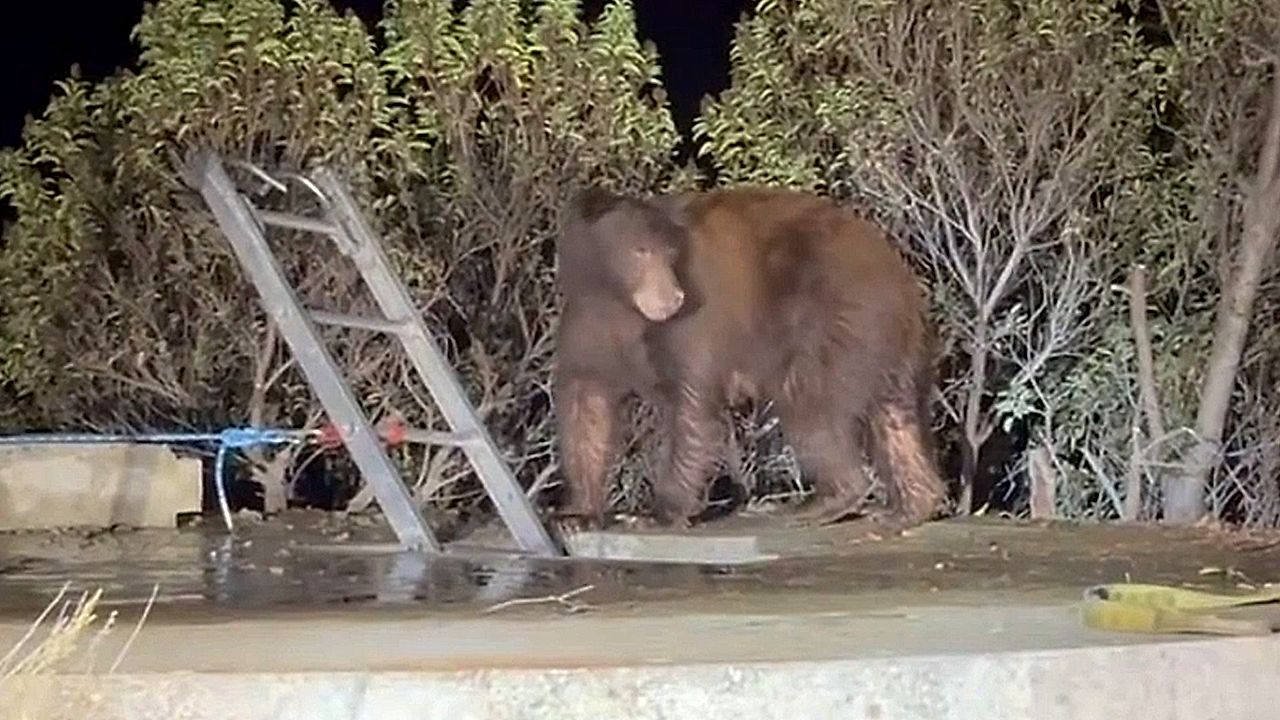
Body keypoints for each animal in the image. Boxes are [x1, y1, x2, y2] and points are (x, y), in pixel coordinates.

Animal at [551, 184, 947, 534]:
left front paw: (659, 514)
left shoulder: (691, 328)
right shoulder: (586, 329)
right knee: (895, 420)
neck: (619, 305)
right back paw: (911, 505)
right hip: (888, 350)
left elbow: (692, 409)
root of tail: (903, 283)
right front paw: (579, 512)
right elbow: (586, 408)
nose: (673, 297)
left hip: (835, 321)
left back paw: (828, 500)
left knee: (810, 405)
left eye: (672, 254)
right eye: (641, 251)